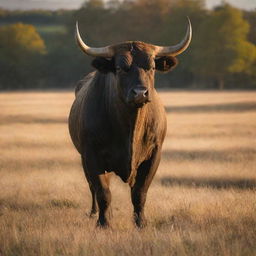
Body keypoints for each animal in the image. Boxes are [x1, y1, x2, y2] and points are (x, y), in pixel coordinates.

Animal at [68, 20, 192, 228]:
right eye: (119, 68)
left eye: (152, 67)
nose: (140, 93)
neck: (130, 128)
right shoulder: (91, 155)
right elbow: (103, 192)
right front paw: (104, 223)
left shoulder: (154, 154)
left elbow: (139, 192)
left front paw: (141, 222)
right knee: (93, 187)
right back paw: (95, 213)